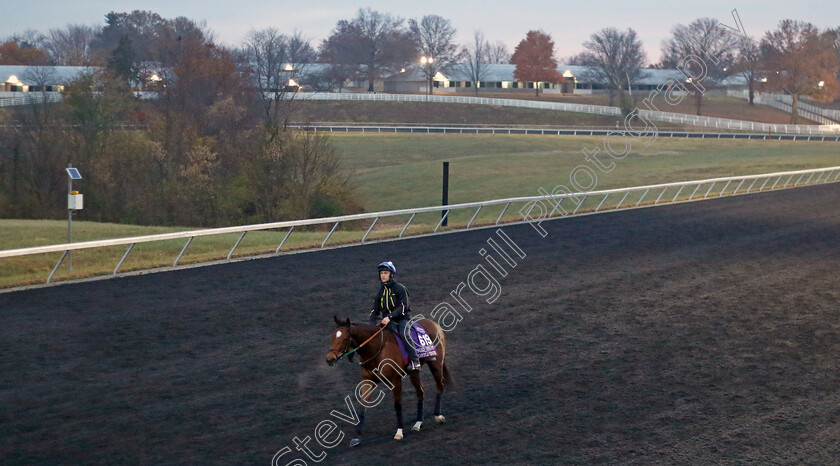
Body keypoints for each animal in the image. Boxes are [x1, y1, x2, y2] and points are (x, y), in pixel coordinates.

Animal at [324, 314, 452, 446]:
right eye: (333, 336)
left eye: (345, 338)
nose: (329, 359)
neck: (377, 348)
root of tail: (434, 324)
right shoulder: (367, 380)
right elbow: (362, 406)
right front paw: (356, 437)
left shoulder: (395, 380)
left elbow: (397, 405)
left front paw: (399, 432)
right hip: (414, 372)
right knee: (420, 391)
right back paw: (418, 423)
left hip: (436, 364)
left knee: (440, 385)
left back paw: (438, 416)